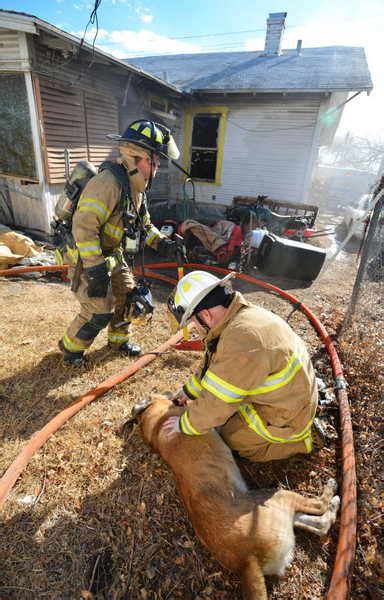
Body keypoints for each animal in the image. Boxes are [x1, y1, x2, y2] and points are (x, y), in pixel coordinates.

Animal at [134, 394, 340, 600]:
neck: (155, 425)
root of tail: (246, 562)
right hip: (276, 497)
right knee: (318, 506)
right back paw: (332, 492)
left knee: (320, 524)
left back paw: (333, 507)